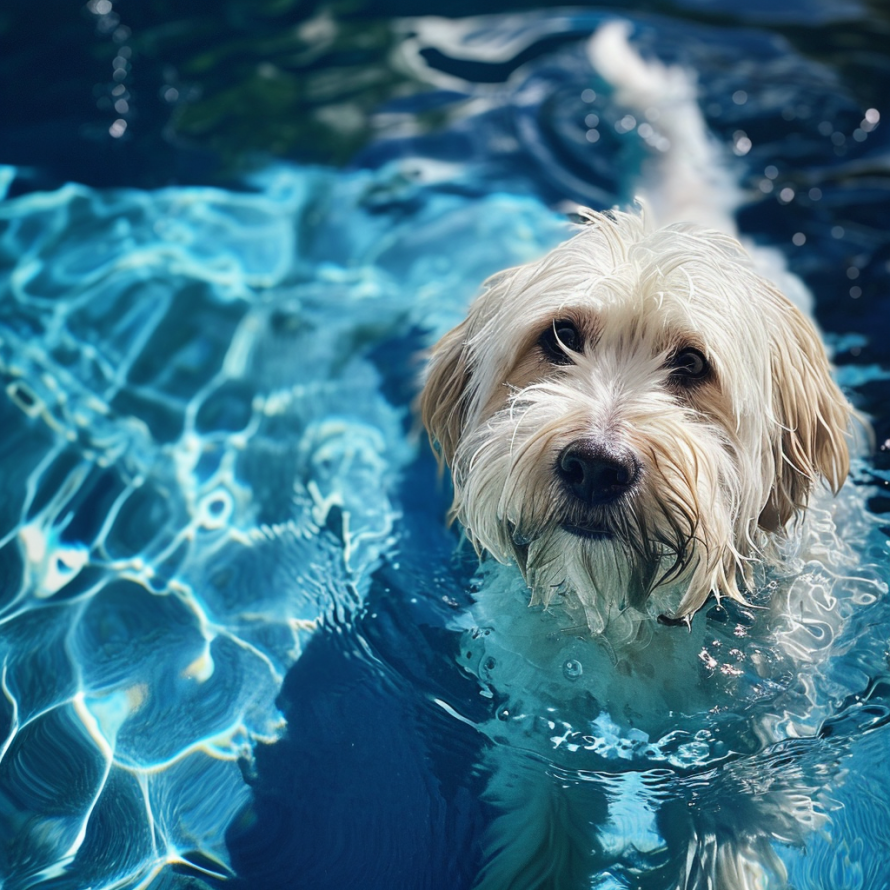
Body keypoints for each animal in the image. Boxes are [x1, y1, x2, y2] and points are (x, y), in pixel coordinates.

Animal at [418, 20, 868, 888]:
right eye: (560, 336)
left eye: (691, 364)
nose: (595, 463)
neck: (633, 614)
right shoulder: (544, 718)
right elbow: (548, 813)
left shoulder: (750, 748)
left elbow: (724, 829)